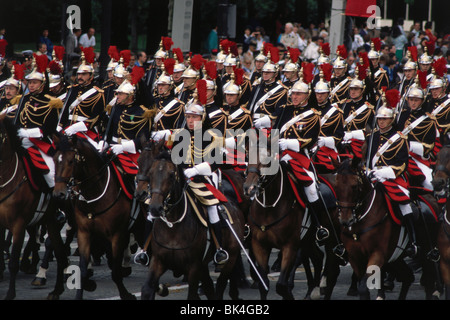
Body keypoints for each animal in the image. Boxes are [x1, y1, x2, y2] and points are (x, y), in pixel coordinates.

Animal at [52, 134, 144, 298]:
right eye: (56, 159)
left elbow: (115, 271)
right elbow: (82, 271)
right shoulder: (84, 233)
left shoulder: (117, 234)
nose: (58, 194)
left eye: (71, 161)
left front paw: (126, 294)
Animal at [138, 142, 246, 300]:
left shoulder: (194, 266)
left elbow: (192, 294)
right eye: (151, 173)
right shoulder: (158, 260)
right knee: (209, 287)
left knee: (220, 285)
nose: (155, 208)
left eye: (171, 175)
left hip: (230, 258)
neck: (173, 227)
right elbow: (147, 288)